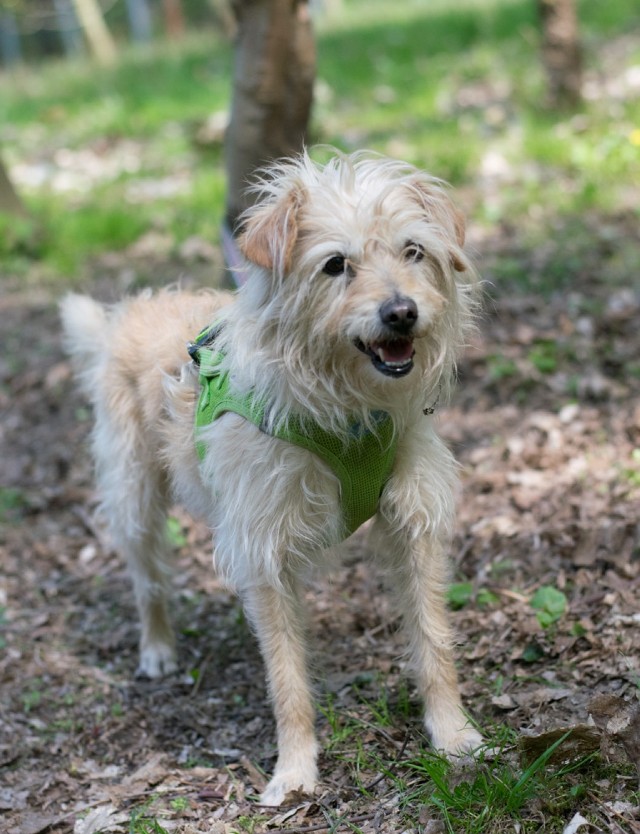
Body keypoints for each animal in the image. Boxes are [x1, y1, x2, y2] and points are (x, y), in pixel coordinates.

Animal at [61, 151, 480, 808]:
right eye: (335, 265)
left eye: (413, 251)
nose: (402, 312)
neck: (348, 410)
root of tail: (127, 314)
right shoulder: (262, 547)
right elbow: (286, 677)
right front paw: (295, 772)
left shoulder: (415, 523)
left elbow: (434, 640)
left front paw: (453, 736)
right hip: (133, 496)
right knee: (147, 576)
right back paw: (157, 647)